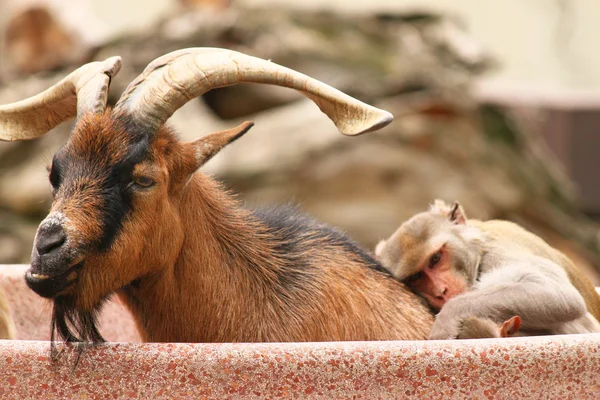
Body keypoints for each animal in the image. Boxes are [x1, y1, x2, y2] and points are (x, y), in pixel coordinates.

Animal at [376, 198, 600, 340]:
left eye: (436, 259)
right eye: (416, 277)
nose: (441, 291)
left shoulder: (499, 252)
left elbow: (557, 293)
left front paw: (448, 318)